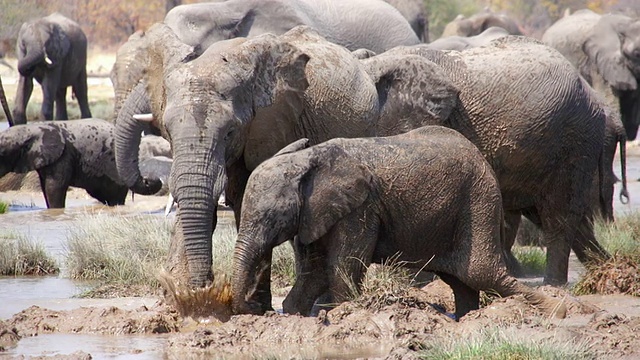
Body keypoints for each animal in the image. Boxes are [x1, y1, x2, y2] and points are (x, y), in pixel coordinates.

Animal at [234, 125, 564, 320]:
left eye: (272, 217)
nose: (252, 308)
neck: (308, 158)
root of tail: (479, 155)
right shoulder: (315, 214)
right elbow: (313, 272)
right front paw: (294, 315)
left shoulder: (360, 209)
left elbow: (342, 268)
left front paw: (341, 313)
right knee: (463, 282)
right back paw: (465, 320)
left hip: (479, 200)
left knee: (481, 272)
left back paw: (558, 311)